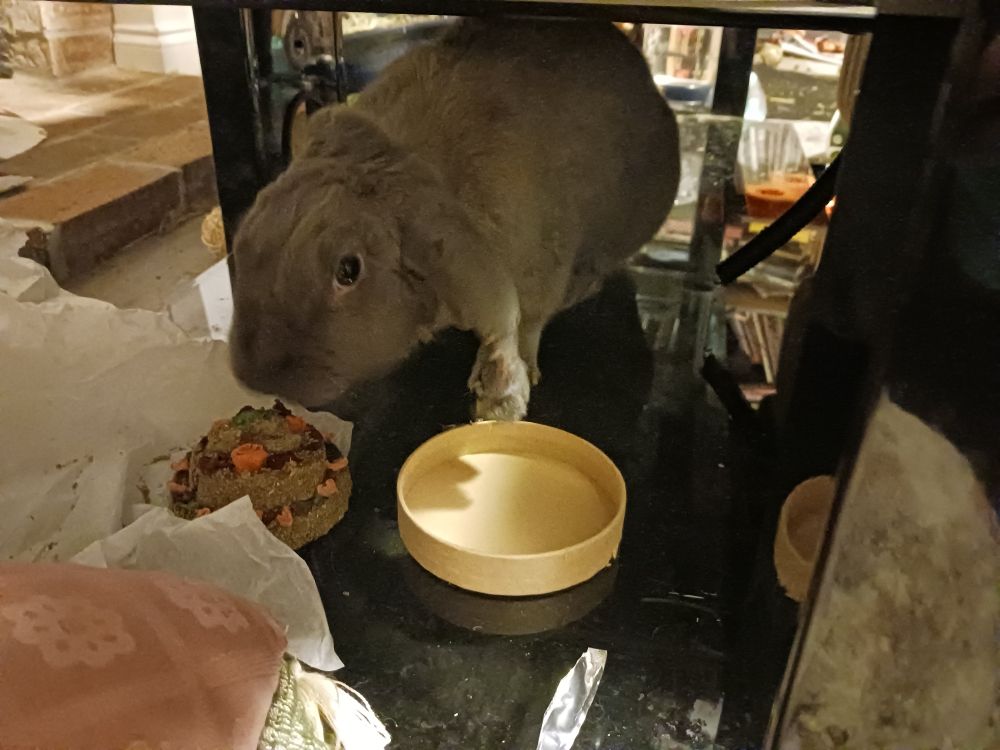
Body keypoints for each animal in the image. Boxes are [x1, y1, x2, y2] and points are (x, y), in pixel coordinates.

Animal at [229, 18, 680, 421]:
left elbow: (525, 326)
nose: (259, 377)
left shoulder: (538, 273)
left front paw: (503, 387)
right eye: (247, 236)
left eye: (348, 270)